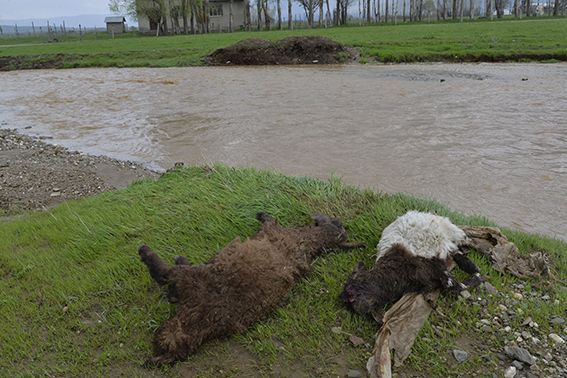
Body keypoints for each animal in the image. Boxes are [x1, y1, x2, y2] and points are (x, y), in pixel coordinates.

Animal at [139, 213, 364, 366]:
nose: (339, 222)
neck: (307, 241)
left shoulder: (271, 230)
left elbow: (268, 221)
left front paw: (261, 214)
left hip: (194, 280)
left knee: (168, 274)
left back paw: (148, 254)